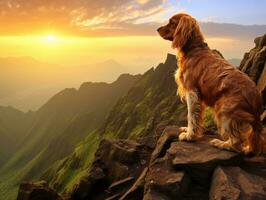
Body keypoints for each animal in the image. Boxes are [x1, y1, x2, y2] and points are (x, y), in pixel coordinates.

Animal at [158, 13, 264, 154]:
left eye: (172, 22)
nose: (157, 29)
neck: (194, 49)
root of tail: (257, 101)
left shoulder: (191, 91)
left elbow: (191, 116)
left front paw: (189, 136)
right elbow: (196, 118)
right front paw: (189, 130)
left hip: (224, 108)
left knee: (237, 142)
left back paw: (221, 143)